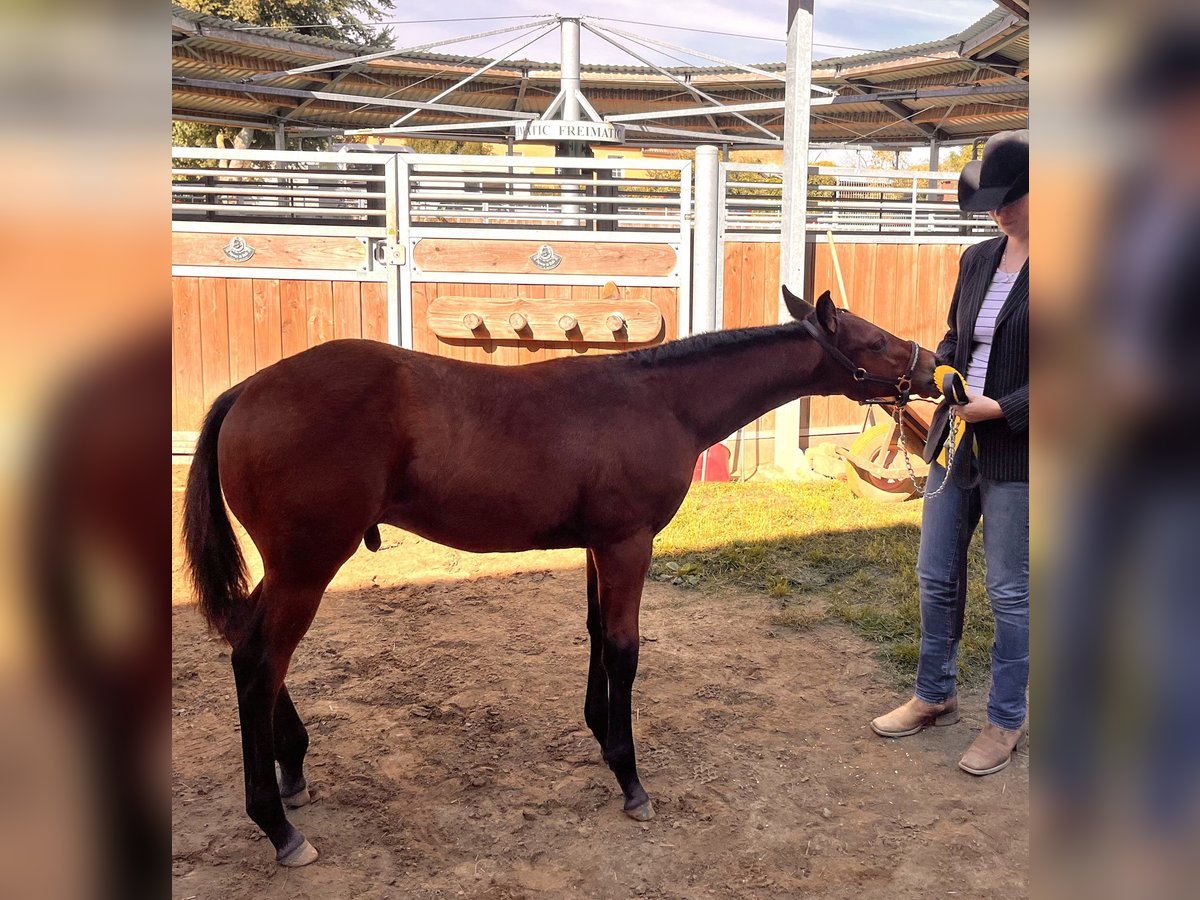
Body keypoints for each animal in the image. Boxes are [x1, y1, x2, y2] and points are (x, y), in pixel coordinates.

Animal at [182, 287, 937, 866]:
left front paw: (601, 736)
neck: (658, 400)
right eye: (875, 340)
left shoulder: (599, 546)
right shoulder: (629, 544)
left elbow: (597, 633)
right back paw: (278, 826)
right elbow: (625, 651)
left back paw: (293, 769)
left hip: (290, 568)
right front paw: (630, 778)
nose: (936, 369)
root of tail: (246, 390)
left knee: (250, 645)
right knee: (260, 661)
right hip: (307, 567)